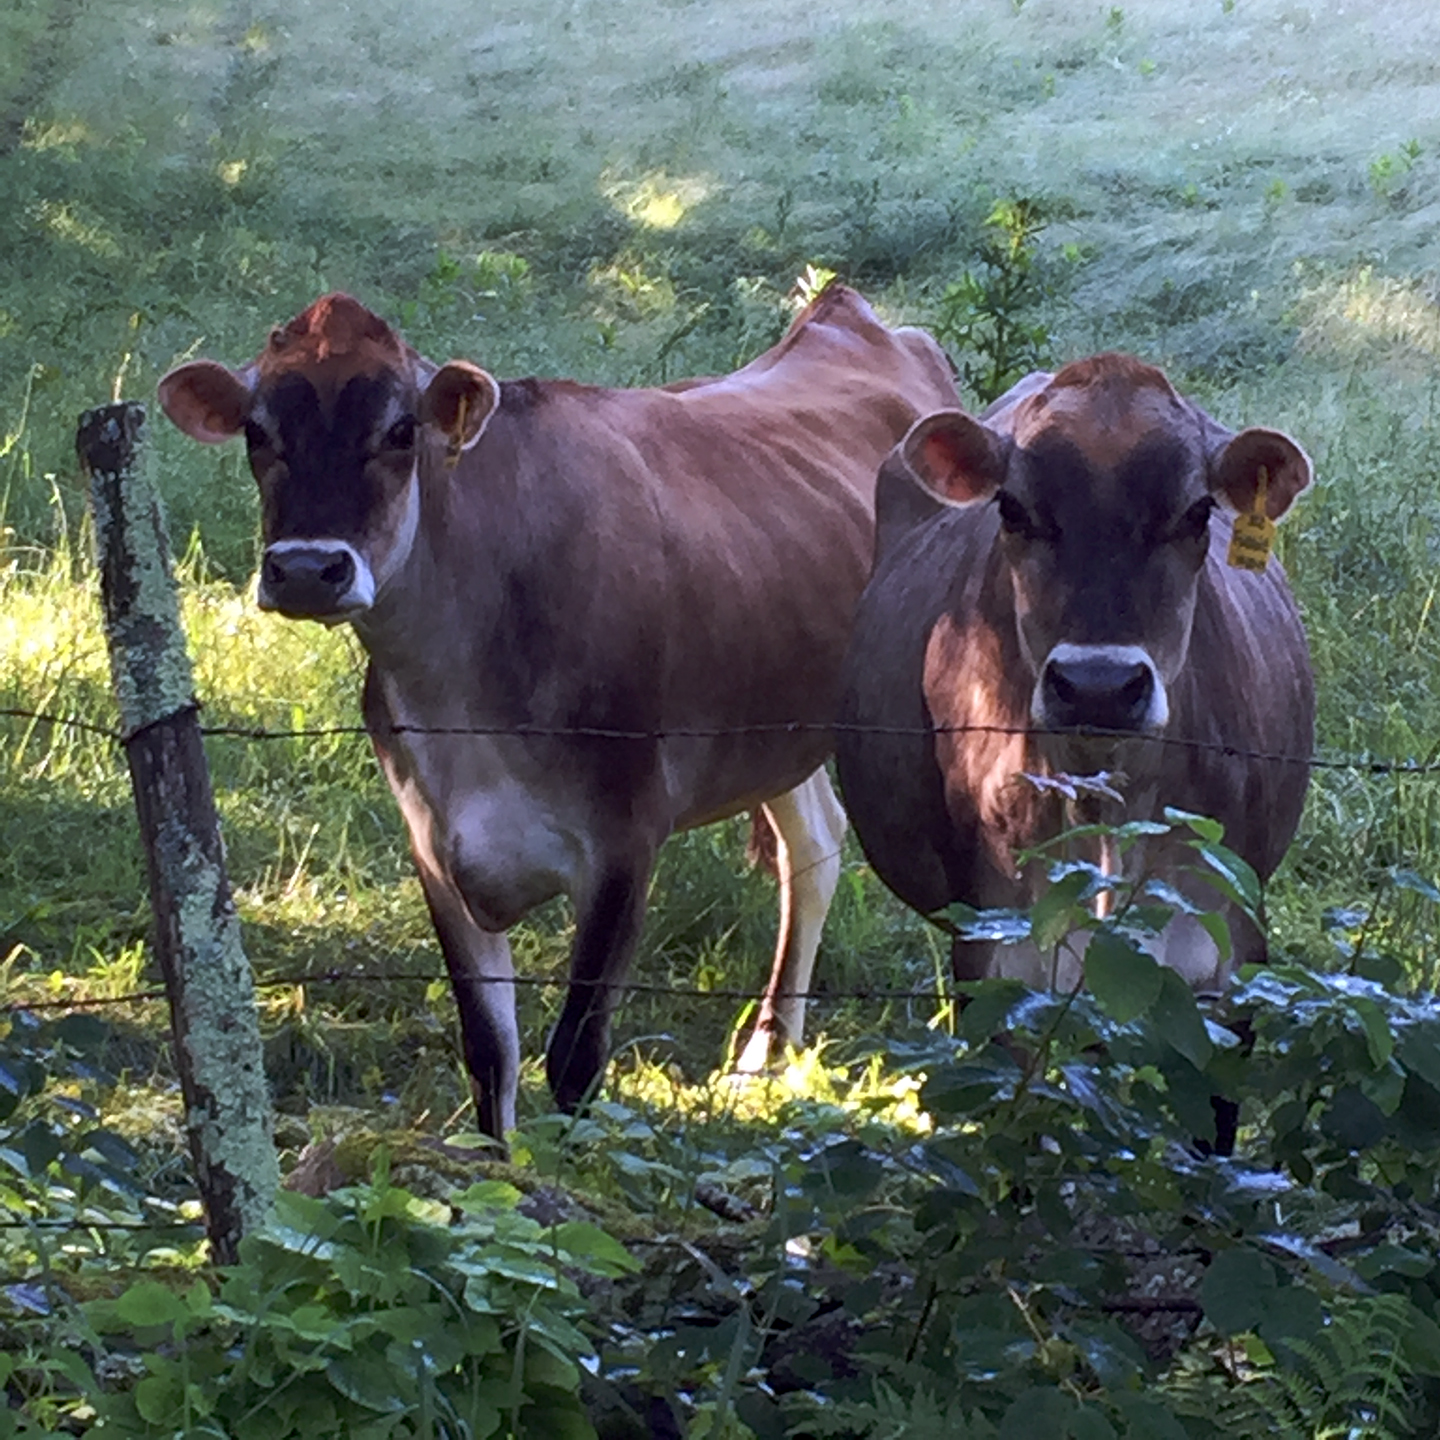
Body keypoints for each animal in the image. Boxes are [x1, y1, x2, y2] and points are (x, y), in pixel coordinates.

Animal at [157, 283, 956, 1134]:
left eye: (401, 429)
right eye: (258, 431)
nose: (308, 569)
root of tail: (848, 314)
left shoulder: (626, 841)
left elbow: (574, 1058)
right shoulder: (434, 843)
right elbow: (489, 1051)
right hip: (776, 725)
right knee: (814, 846)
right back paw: (764, 1054)